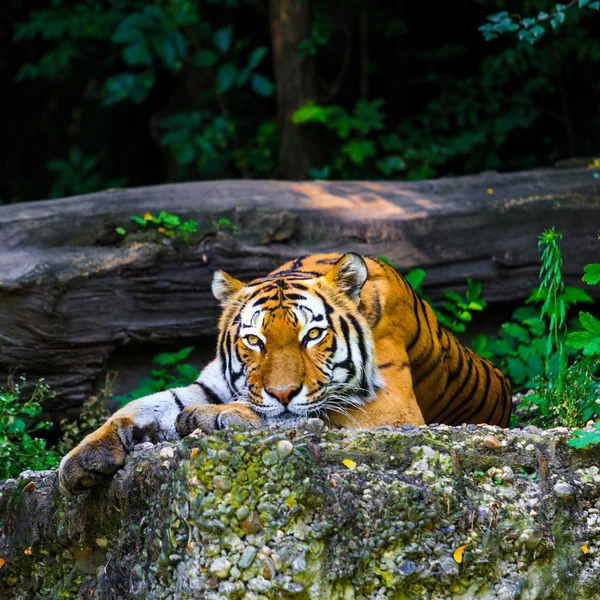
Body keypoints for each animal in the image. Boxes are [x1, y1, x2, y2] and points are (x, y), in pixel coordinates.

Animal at [59, 252, 510, 492]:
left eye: (313, 335)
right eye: (254, 340)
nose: (282, 392)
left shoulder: (394, 411)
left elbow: (298, 417)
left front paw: (211, 417)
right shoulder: (211, 383)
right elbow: (144, 405)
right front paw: (83, 459)